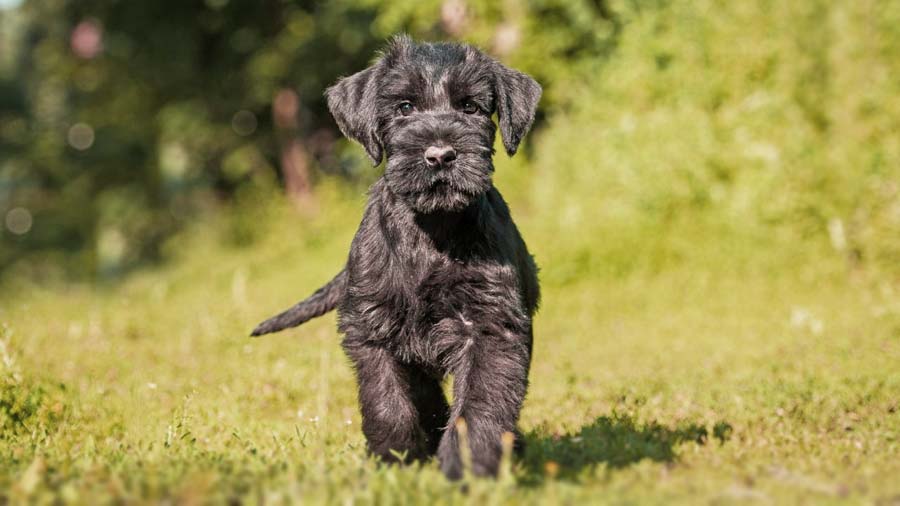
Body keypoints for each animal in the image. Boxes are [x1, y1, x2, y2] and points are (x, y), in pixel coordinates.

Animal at [251, 35, 540, 478]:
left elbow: (480, 404)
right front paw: (395, 461)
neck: (432, 231)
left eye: (470, 107)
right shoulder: (373, 328)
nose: (440, 155)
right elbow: (387, 402)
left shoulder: (490, 327)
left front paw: (467, 468)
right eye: (404, 107)